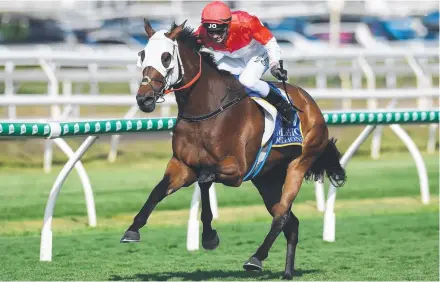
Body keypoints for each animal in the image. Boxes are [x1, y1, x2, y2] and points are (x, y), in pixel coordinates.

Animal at [121, 19, 348, 280]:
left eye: (166, 57)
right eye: (142, 54)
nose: (144, 99)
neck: (206, 110)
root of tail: (311, 104)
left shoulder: (237, 170)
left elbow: (205, 178)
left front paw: (209, 237)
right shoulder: (182, 166)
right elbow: (158, 190)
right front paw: (133, 229)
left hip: (299, 164)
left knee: (281, 215)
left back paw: (256, 258)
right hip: (266, 178)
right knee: (291, 222)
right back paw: (287, 272)